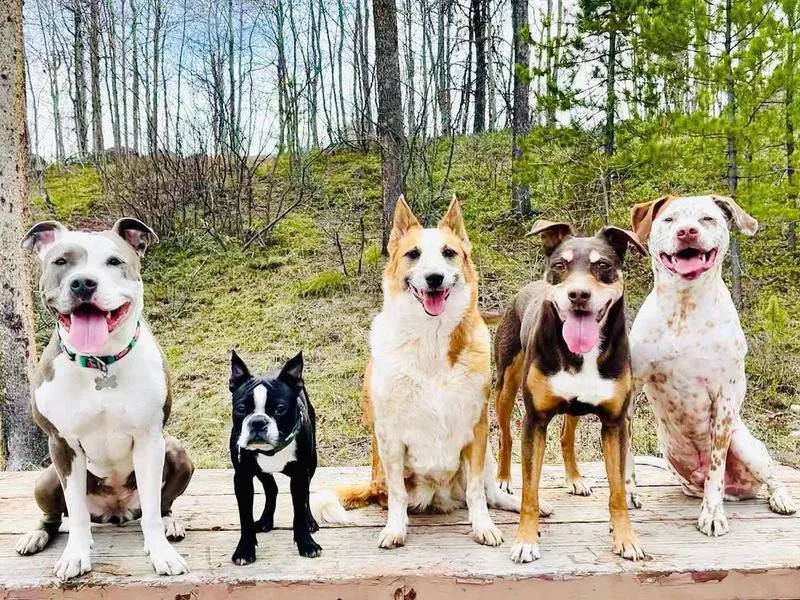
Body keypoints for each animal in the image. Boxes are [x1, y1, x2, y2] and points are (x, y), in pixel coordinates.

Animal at [15, 220, 194, 580]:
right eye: (61, 261)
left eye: (114, 261)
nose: (83, 282)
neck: (100, 361)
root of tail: (115, 512)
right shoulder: (62, 444)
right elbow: (75, 511)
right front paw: (76, 555)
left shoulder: (150, 441)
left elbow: (152, 509)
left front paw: (161, 553)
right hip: (46, 478)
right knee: (57, 517)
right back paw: (37, 535)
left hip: (177, 451)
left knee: (162, 504)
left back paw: (170, 522)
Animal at [328, 196, 548, 548]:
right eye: (413, 254)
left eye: (448, 253)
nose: (434, 278)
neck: (431, 340)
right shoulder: (390, 436)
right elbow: (399, 496)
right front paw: (396, 529)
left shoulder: (476, 429)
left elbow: (477, 492)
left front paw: (483, 526)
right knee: (397, 494)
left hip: (485, 451)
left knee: (488, 491)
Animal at [496, 219, 648, 564]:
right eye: (560, 265)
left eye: (602, 265)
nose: (578, 294)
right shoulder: (535, 421)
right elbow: (530, 490)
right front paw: (525, 540)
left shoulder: (615, 423)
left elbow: (618, 490)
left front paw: (626, 538)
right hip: (505, 386)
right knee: (505, 435)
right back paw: (503, 479)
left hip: (576, 408)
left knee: (567, 437)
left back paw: (575, 479)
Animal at [632, 195, 792, 536]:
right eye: (669, 219)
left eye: (707, 218)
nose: (687, 232)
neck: (685, 306)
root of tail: (738, 491)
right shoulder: (631, 385)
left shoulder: (726, 397)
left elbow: (717, 468)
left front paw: (713, 514)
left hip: (746, 445)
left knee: (769, 475)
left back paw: (780, 498)